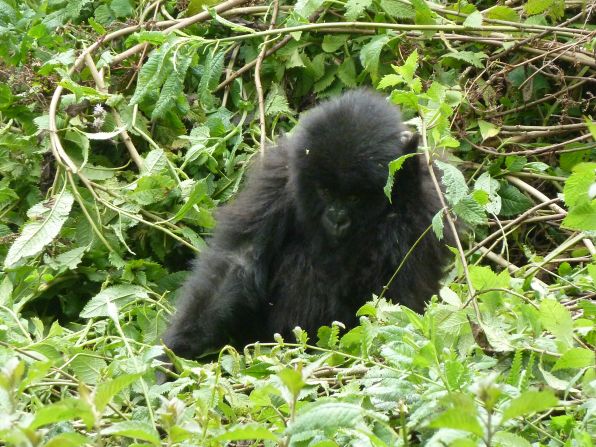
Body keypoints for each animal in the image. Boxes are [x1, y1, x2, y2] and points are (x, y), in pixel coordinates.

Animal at [161, 89, 450, 362]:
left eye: (354, 198)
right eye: (325, 192)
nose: (337, 218)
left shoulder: (431, 202)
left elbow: (406, 277)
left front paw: (406, 170)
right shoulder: (279, 177)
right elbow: (237, 260)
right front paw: (176, 351)